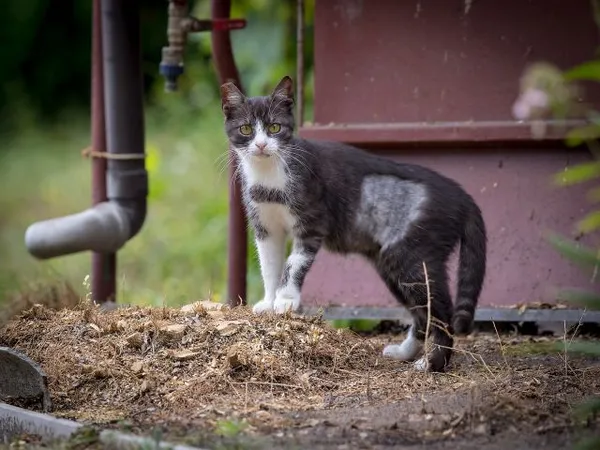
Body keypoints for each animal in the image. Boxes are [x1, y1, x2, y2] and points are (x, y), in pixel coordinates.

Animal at [220, 76, 488, 372]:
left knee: (441, 311)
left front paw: (286, 300)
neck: (269, 179)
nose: (261, 145)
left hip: (416, 257)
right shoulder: (266, 228)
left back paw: (432, 364)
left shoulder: (313, 221)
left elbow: (294, 262)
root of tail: (463, 197)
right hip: (393, 266)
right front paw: (269, 302)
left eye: (274, 127)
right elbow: (269, 265)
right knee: (422, 314)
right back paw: (404, 353)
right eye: (246, 129)